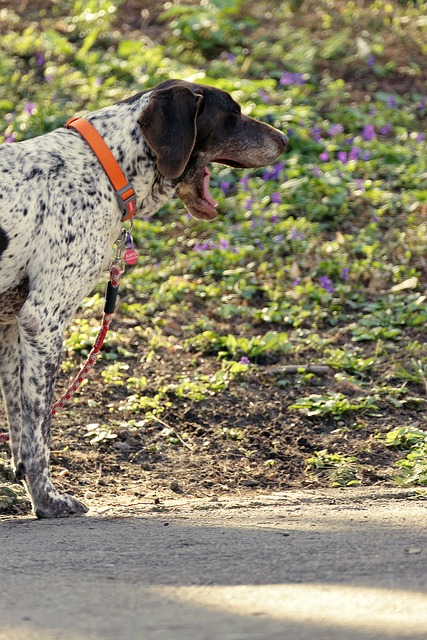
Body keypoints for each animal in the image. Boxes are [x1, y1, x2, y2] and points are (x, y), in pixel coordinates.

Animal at [0, 79, 288, 516]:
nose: (285, 140)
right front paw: (47, 500)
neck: (104, 168)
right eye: (233, 113)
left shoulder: (12, 326)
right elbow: (40, 433)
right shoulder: (43, 320)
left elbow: (20, 421)